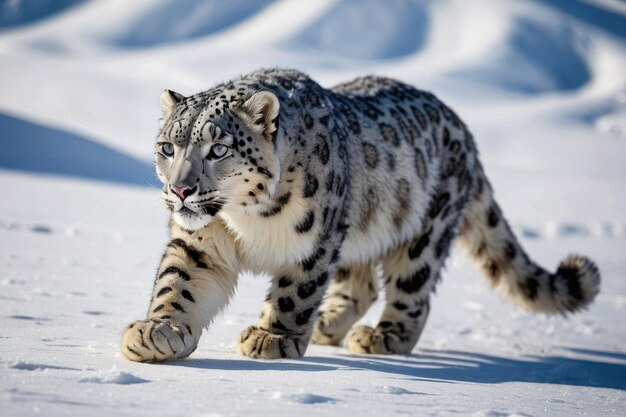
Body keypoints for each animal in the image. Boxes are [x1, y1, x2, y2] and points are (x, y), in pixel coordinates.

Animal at [118, 69, 600, 360]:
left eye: (218, 149)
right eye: (168, 147)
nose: (180, 190)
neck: (246, 219)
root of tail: (463, 130)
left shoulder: (316, 241)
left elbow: (295, 293)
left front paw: (274, 338)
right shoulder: (199, 242)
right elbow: (178, 284)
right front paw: (157, 332)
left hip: (425, 231)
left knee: (413, 290)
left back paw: (381, 337)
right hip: (359, 233)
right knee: (361, 285)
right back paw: (328, 325)